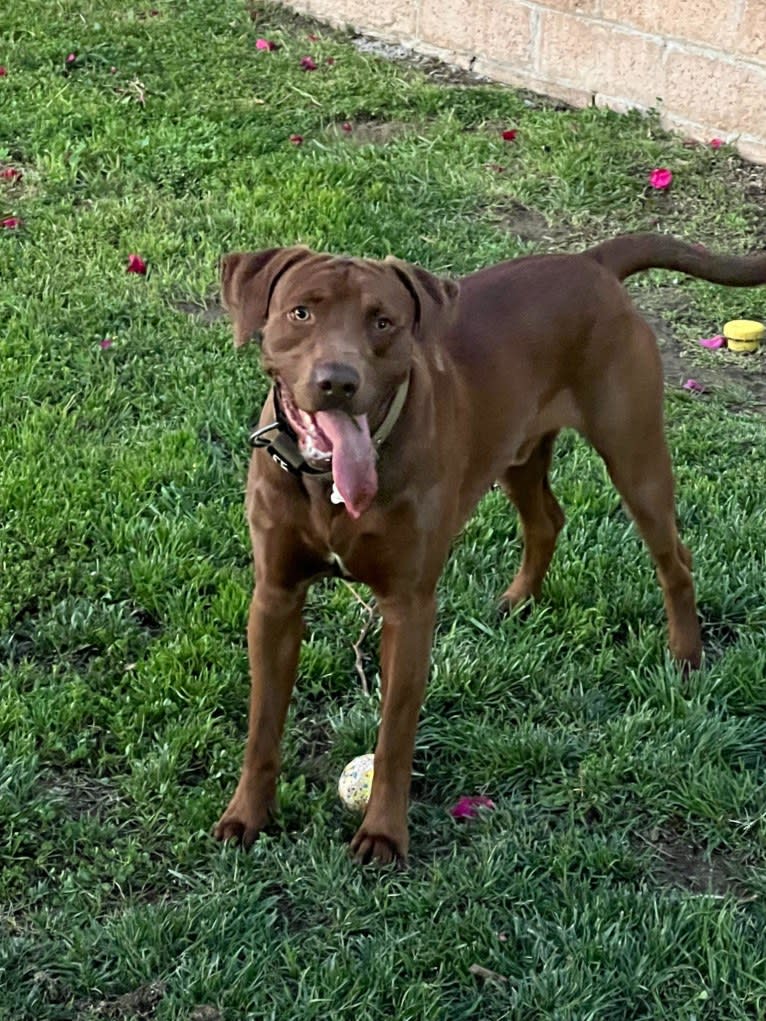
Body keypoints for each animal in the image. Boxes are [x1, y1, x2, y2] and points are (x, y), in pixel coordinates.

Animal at [214, 236, 766, 861]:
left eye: (383, 322)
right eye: (301, 312)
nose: (338, 381)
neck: (327, 483)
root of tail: (592, 261)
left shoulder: (409, 608)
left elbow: (394, 733)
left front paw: (383, 832)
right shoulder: (276, 598)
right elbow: (263, 724)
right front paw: (246, 815)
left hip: (635, 453)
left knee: (674, 558)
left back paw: (686, 654)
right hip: (519, 451)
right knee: (547, 520)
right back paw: (518, 601)